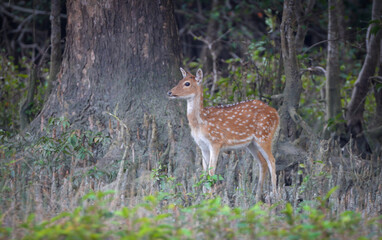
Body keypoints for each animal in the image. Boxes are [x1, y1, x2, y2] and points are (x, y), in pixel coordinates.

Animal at [168, 68, 280, 197]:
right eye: (179, 81)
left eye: (187, 83)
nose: (169, 92)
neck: (201, 122)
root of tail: (276, 114)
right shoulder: (203, 146)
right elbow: (204, 172)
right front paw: (204, 196)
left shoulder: (216, 141)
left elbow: (211, 172)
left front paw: (211, 196)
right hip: (251, 143)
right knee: (263, 162)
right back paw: (257, 195)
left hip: (264, 135)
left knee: (272, 160)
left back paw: (275, 195)